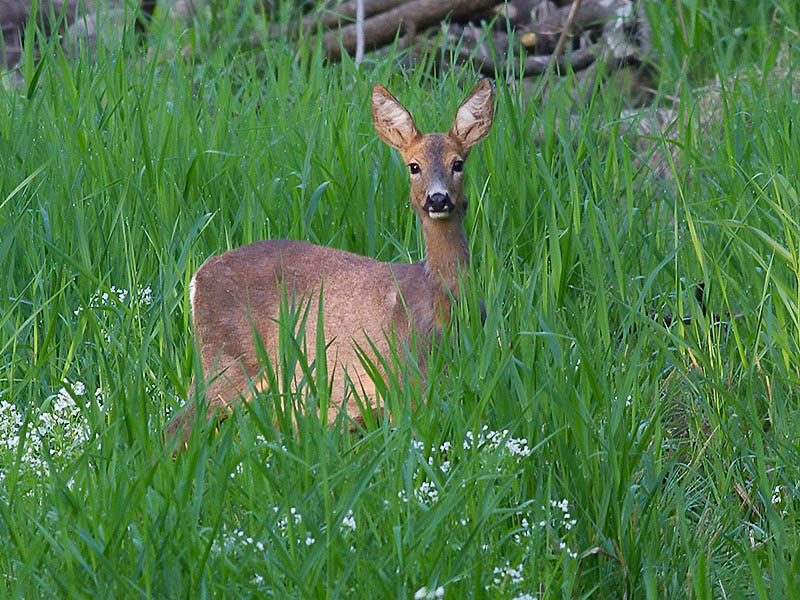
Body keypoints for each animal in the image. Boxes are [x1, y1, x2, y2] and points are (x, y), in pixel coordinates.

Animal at [165, 78, 494, 446]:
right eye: (414, 166)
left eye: (458, 163)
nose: (438, 199)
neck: (443, 305)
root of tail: (196, 279)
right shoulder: (405, 373)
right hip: (224, 360)